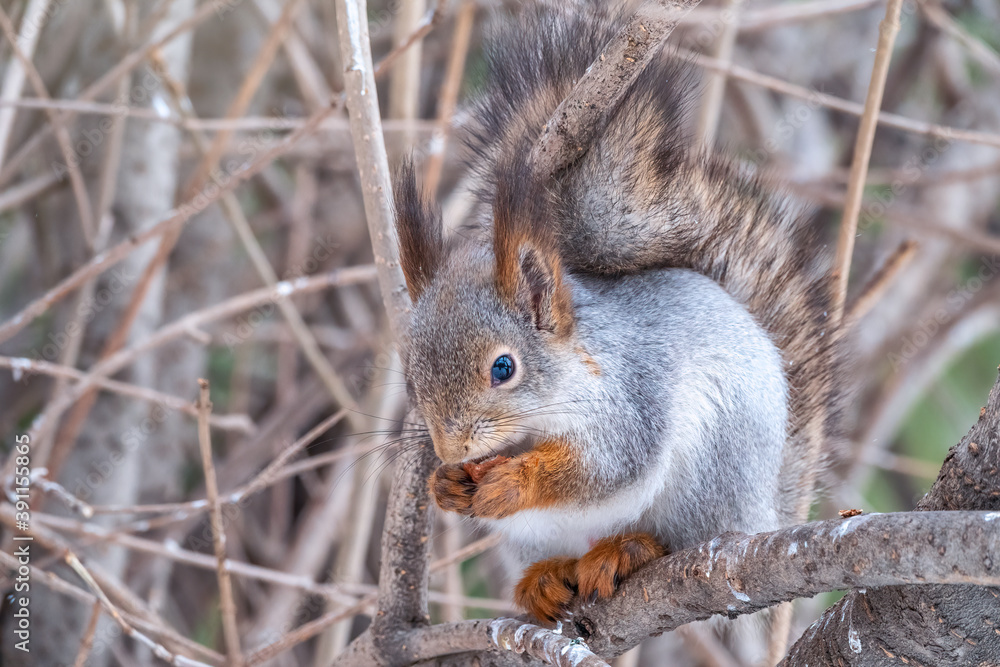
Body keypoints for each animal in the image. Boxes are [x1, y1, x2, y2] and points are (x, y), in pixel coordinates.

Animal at [392, 2, 837, 624]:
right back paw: (545, 579)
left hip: (711, 472)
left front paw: (515, 482)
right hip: (535, 537)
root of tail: (763, 515)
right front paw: (445, 485)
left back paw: (630, 549)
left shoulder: (631, 398)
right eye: (410, 378)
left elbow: (606, 465)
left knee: (680, 538)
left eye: (504, 368)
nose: (453, 450)